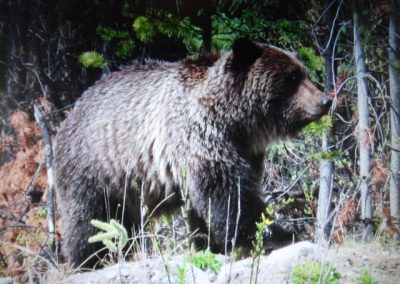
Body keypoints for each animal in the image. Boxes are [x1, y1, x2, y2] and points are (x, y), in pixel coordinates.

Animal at [55, 38, 332, 268]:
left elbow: (208, 204)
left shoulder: (246, 150)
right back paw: (88, 261)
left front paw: (210, 244)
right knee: (89, 221)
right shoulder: (199, 136)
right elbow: (230, 195)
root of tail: (67, 118)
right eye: (292, 78)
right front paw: (278, 234)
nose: (325, 100)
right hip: (95, 168)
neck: (236, 121)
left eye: (303, 73)